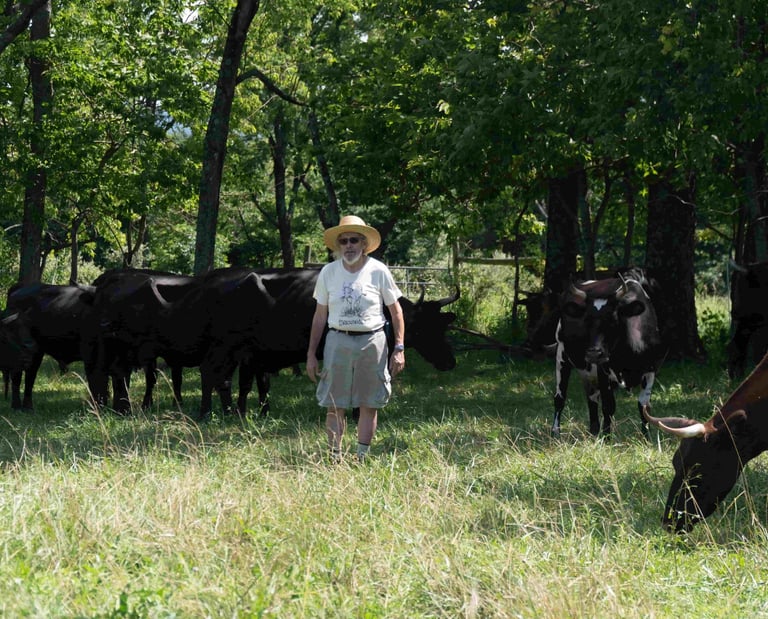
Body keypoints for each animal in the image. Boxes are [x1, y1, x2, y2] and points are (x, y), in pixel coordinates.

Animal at [552, 268, 665, 438]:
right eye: (586, 321)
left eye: (612, 319)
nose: (593, 353)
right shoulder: (603, 371)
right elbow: (608, 406)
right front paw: (607, 438)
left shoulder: (651, 370)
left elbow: (644, 406)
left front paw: (647, 437)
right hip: (562, 356)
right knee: (560, 398)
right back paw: (555, 432)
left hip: (587, 372)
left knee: (591, 399)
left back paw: (593, 432)